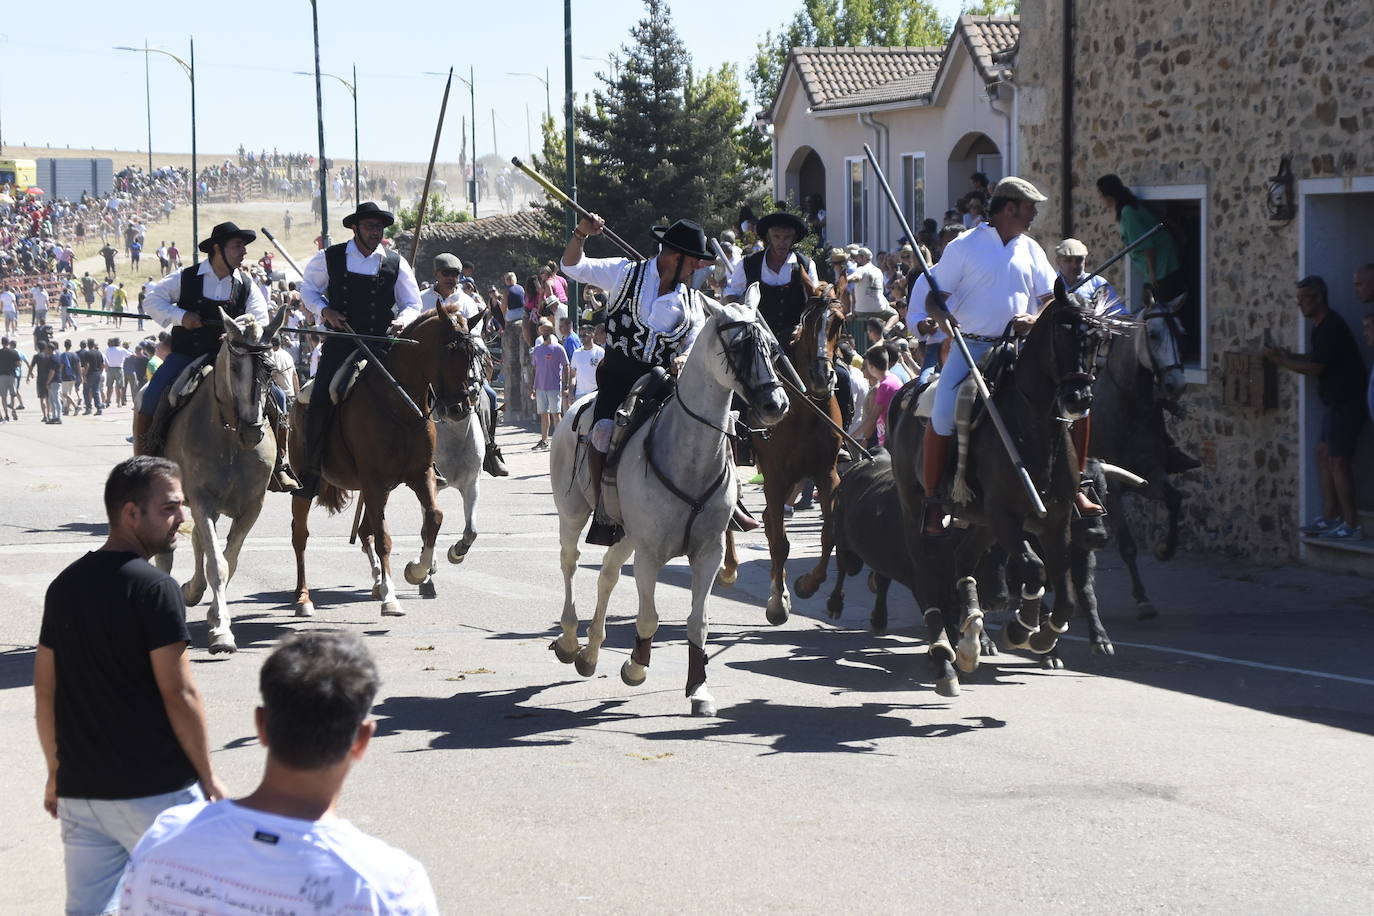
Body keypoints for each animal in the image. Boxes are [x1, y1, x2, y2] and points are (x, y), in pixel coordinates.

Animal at [289, 307, 478, 615]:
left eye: (473, 354)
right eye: (448, 350)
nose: (459, 408)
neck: (399, 406)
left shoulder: (420, 475)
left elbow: (433, 518)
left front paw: (416, 571)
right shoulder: (374, 480)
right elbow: (384, 539)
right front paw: (391, 597)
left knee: (364, 530)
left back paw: (377, 582)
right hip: (310, 482)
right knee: (301, 535)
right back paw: (304, 598)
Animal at [544, 292, 791, 714]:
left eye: (772, 348)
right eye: (738, 347)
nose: (776, 404)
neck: (690, 456)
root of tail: (574, 406)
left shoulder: (707, 553)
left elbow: (698, 621)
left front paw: (699, 688)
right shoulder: (649, 554)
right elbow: (648, 618)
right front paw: (635, 667)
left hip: (625, 534)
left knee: (608, 574)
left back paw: (590, 653)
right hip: (573, 514)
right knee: (570, 562)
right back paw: (570, 639)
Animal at [719, 289, 846, 626]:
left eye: (839, 322)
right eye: (809, 322)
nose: (821, 377)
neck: (806, 411)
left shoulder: (826, 474)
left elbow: (829, 534)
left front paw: (806, 585)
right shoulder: (775, 476)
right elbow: (780, 542)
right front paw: (778, 603)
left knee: (766, 519)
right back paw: (729, 568)